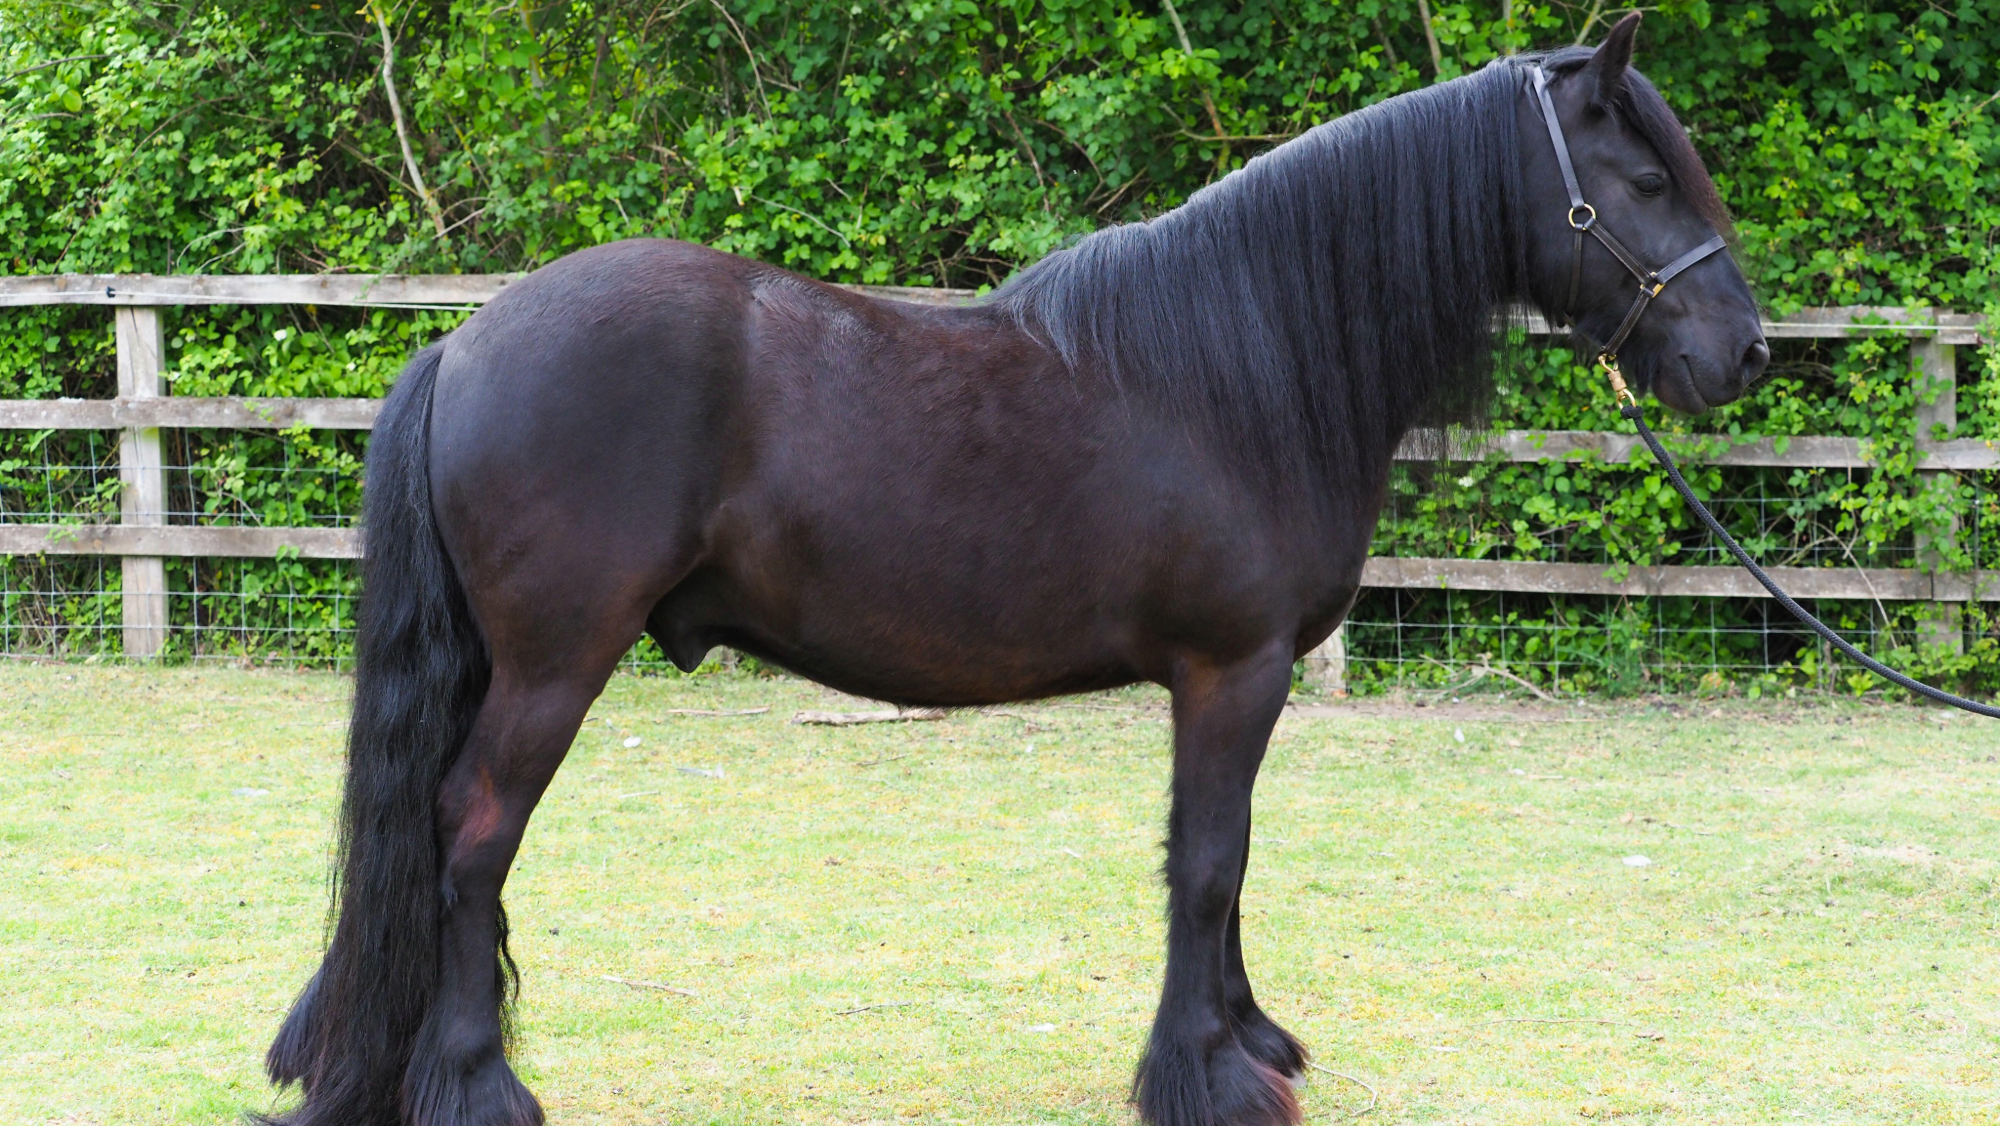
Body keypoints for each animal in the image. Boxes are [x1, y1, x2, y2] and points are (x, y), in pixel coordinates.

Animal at [263, 15, 1767, 1126]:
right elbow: (1207, 859)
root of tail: (466, 340)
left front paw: (1251, 1038)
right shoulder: (1232, 669)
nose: (1743, 354)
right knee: (471, 834)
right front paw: (1206, 1076)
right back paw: (478, 1086)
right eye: (1642, 183)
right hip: (555, 663)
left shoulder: (1233, 680)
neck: (1244, 367)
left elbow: (1222, 858)